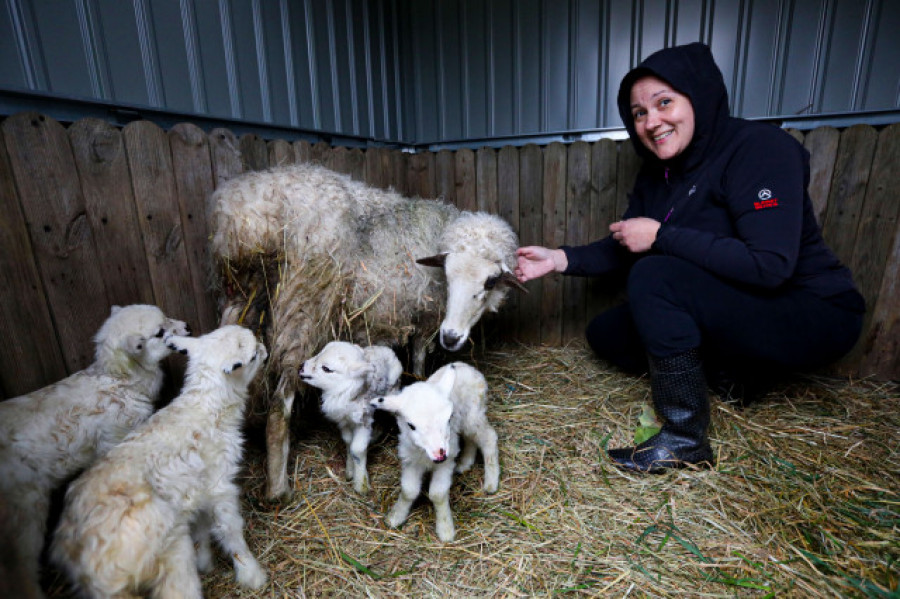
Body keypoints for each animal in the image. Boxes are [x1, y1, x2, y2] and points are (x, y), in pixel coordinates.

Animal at [50, 328, 268, 599]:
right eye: (253, 355)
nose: (265, 349)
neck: (206, 409)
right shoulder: (220, 484)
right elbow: (230, 530)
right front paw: (252, 574)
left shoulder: (195, 488)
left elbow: (201, 528)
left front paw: (205, 562)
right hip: (170, 549)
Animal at [300, 340, 402, 494]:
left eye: (326, 368)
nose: (301, 367)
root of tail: (384, 348)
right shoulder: (344, 420)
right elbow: (348, 442)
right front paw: (349, 471)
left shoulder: (363, 420)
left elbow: (357, 449)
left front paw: (361, 484)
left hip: (392, 392)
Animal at [370, 360, 502, 544]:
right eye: (411, 426)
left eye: (448, 418)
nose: (440, 453)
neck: (425, 456)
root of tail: (465, 365)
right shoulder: (410, 460)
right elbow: (409, 491)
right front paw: (395, 517)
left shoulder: (446, 461)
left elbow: (437, 494)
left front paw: (445, 530)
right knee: (470, 439)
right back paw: (465, 463)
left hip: (473, 414)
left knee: (488, 437)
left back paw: (491, 483)